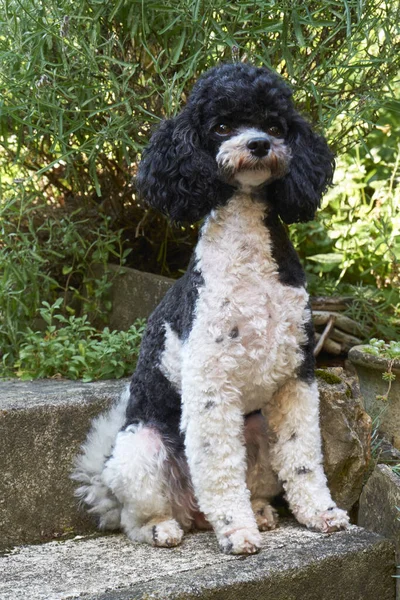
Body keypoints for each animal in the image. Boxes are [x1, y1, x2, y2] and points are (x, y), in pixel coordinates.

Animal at [73, 63, 348, 556]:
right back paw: (164, 528)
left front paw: (320, 513)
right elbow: (219, 468)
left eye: (276, 125)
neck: (250, 257)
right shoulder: (211, 384)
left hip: (255, 430)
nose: (258, 144)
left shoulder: (297, 376)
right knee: (132, 516)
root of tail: (191, 511)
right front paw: (237, 531)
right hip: (142, 448)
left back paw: (259, 512)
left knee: (254, 480)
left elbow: (302, 456)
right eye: (221, 126)